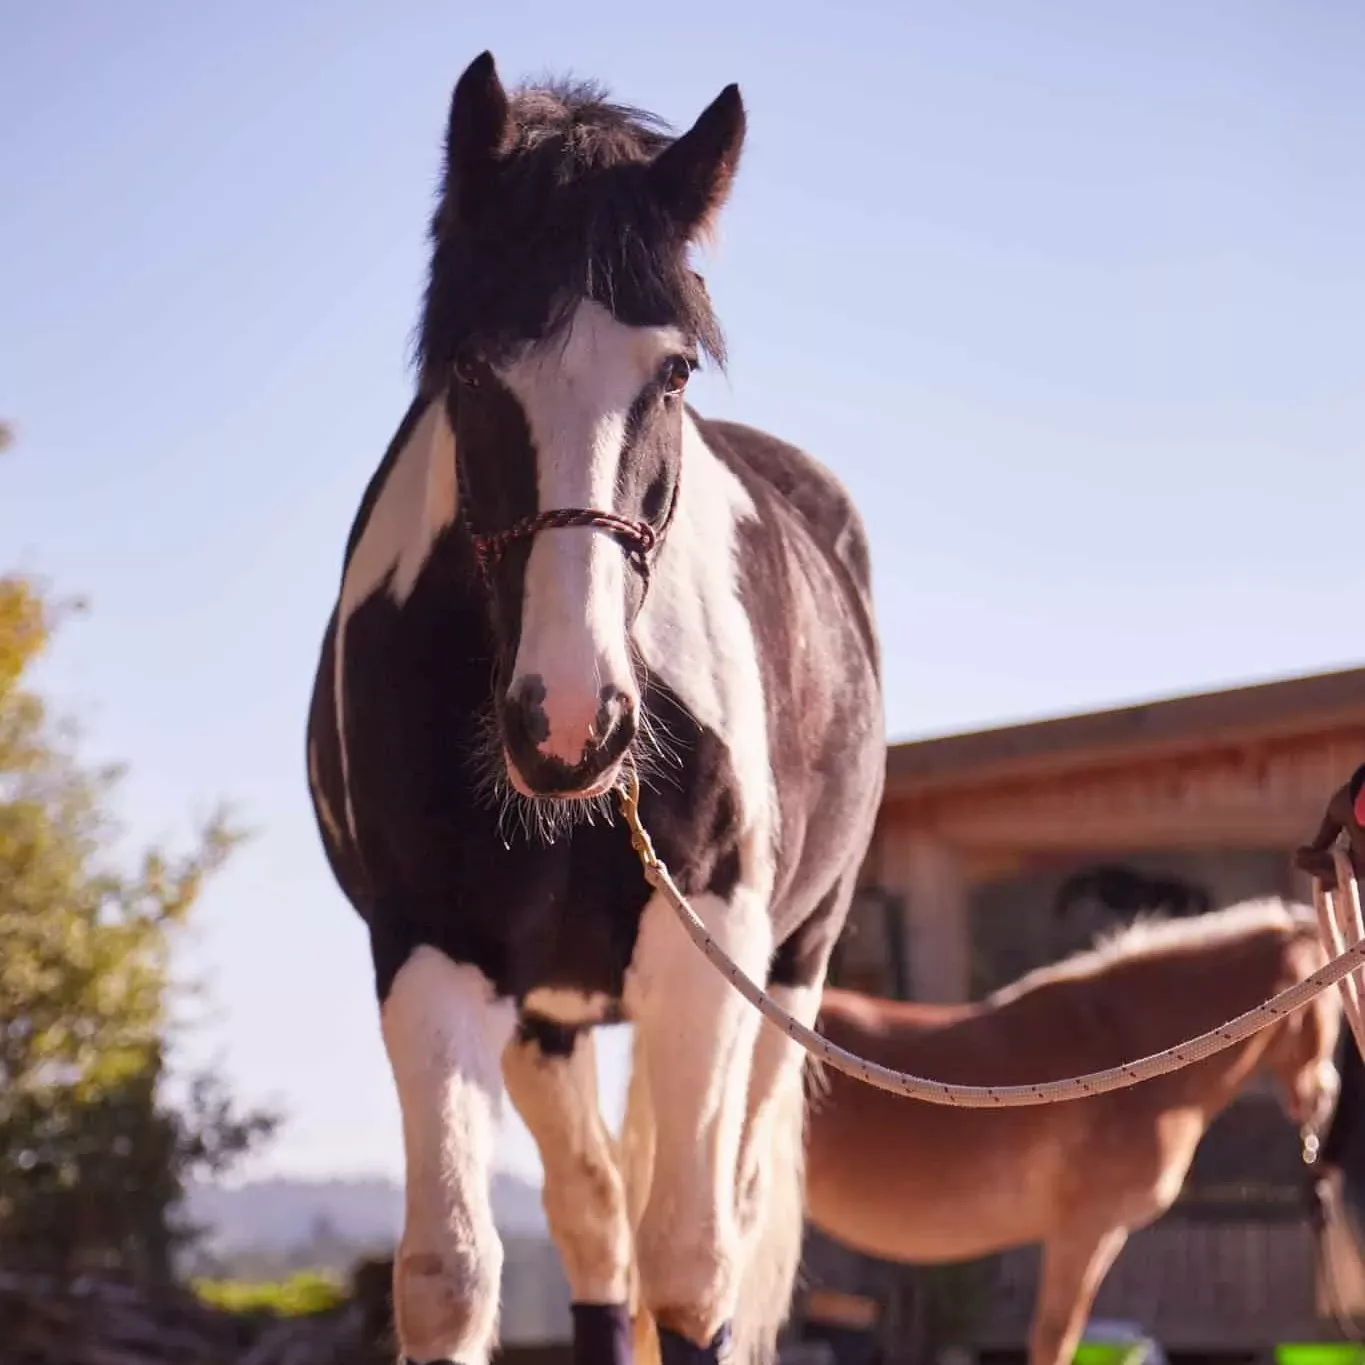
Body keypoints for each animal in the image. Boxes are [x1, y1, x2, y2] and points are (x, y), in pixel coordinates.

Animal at [304, 51, 885, 1365]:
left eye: (670, 371)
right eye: (471, 367)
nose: (570, 721)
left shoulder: (710, 945)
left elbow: (696, 1272)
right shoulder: (434, 950)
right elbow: (452, 1271)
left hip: (790, 978)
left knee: (719, 1223)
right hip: (552, 1019)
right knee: (597, 1232)